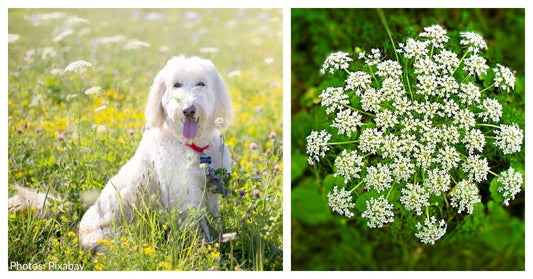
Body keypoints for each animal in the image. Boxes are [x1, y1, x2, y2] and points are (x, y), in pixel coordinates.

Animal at [78, 56, 232, 252]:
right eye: (176, 85)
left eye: (201, 83)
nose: (188, 110)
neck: (193, 147)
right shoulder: (186, 195)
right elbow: (197, 226)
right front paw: (204, 249)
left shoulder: (210, 191)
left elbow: (213, 218)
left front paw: (219, 239)